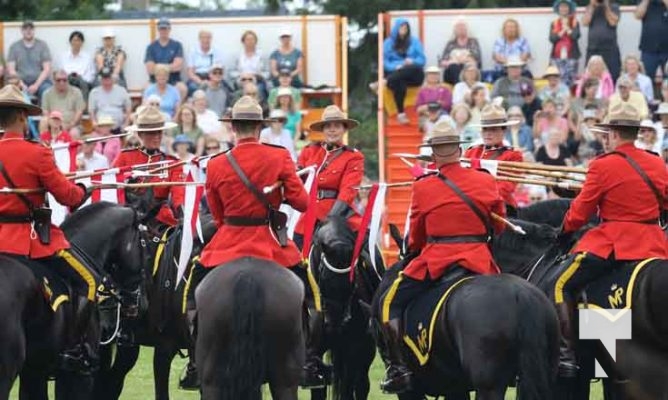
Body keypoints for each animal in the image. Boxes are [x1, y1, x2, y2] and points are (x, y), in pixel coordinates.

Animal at [306, 216, 384, 400]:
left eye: (353, 280)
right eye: (323, 277)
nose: (334, 326)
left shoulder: (353, 349)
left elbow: (348, 388)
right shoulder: (314, 354)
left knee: (361, 384)